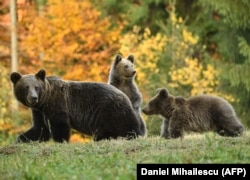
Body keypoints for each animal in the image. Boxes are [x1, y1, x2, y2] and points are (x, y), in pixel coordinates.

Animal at [10, 68, 146, 142]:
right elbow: (40, 129)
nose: (33, 98)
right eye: (26, 87)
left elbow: (59, 126)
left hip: (111, 110)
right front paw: (20, 139)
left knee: (128, 126)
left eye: (36, 87)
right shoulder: (38, 112)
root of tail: (123, 94)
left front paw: (61, 141)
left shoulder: (57, 105)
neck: (44, 102)